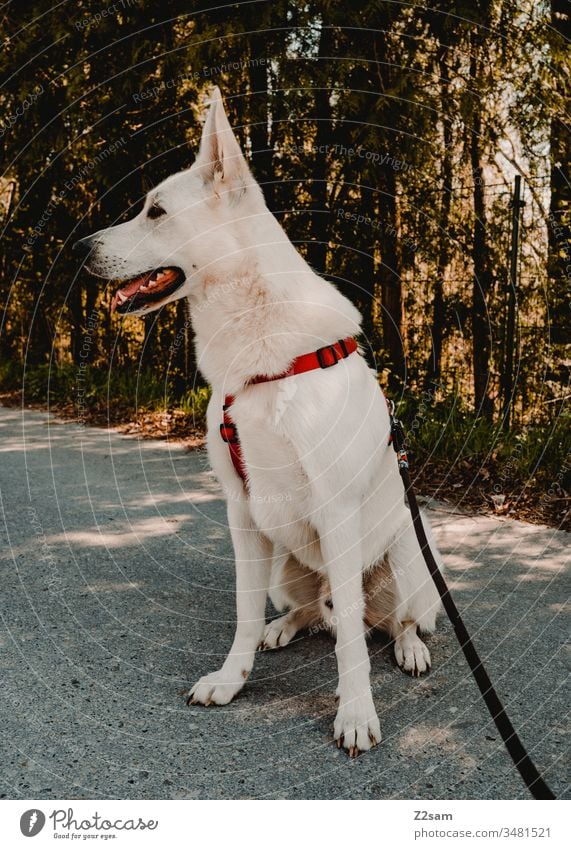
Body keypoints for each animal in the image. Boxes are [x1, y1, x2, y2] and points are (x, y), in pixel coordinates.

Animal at [75, 83, 442, 752]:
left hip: (406, 558)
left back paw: (408, 649)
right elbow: (245, 614)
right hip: (285, 569)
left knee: (385, 621)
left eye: (155, 212)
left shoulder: (336, 509)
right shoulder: (242, 510)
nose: (80, 248)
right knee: (313, 609)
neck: (261, 353)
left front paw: (355, 713)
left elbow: (353, 646)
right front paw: (233, 678)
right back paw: (286, 627)